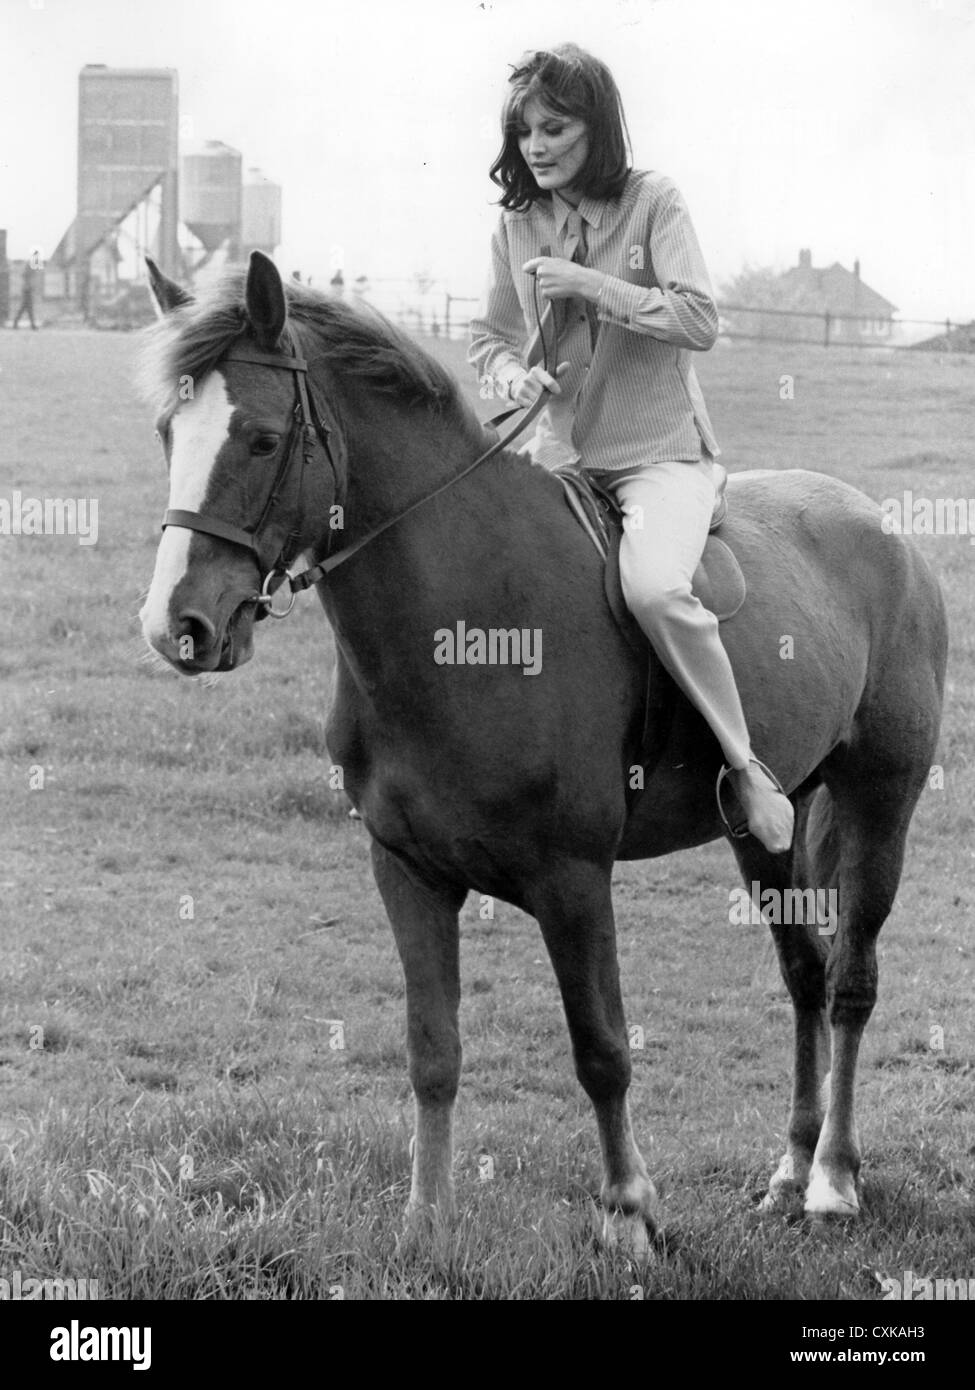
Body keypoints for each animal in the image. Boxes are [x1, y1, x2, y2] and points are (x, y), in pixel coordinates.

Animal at [140, 250, 945, 1251]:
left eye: (256, 439)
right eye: (168, 431)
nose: (177, 626)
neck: (465, 621)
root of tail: (880, 530)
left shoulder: (572, 879)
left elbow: (601, 1051)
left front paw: (628, 1215)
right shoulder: (405, 871)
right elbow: (432, 1050)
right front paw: (425, 1224)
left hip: (881, 805)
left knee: (847, 984)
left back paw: (833, 1177)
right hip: (767, 829)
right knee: (801, 975)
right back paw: (790, 1171)